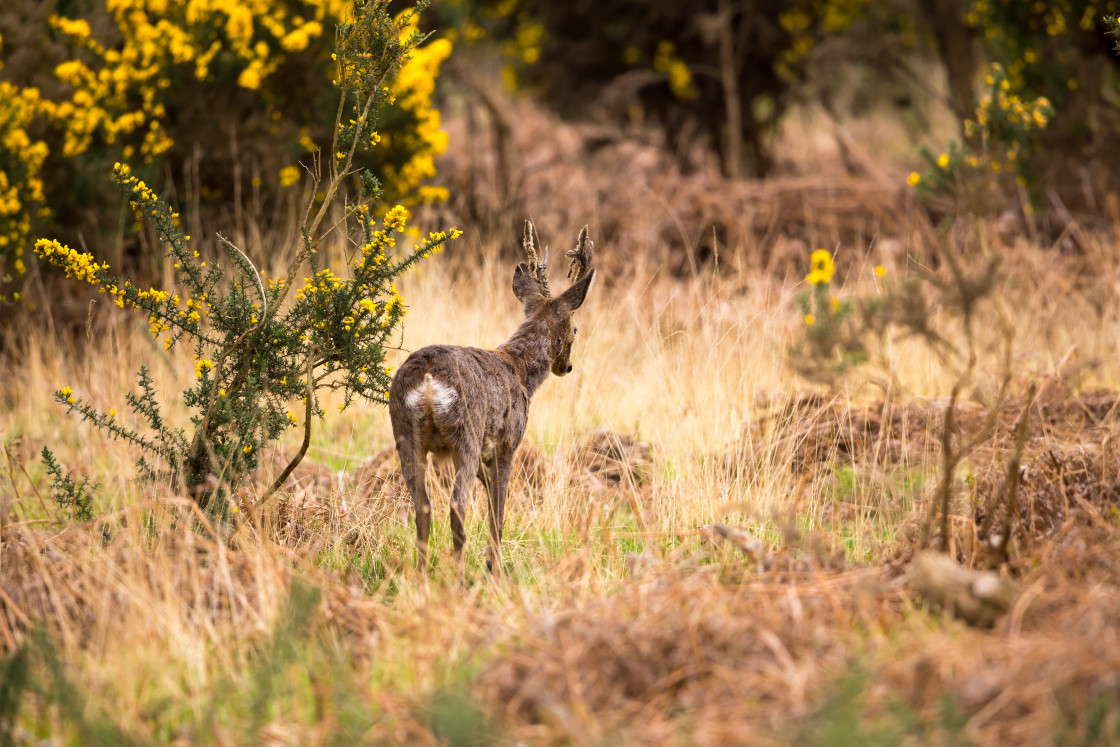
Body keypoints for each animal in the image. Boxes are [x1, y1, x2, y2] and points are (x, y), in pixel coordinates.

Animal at [389, 219, 595, 577]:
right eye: (575, 329)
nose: (567, 367)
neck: (522, 371)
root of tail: (427, 376)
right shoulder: (507, 444)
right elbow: (498, 512)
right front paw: (494, 567)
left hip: (404, 433)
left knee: (423, 507)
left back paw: (421, 576)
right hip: (466, 434)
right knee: (456, 505)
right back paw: (457, 578)